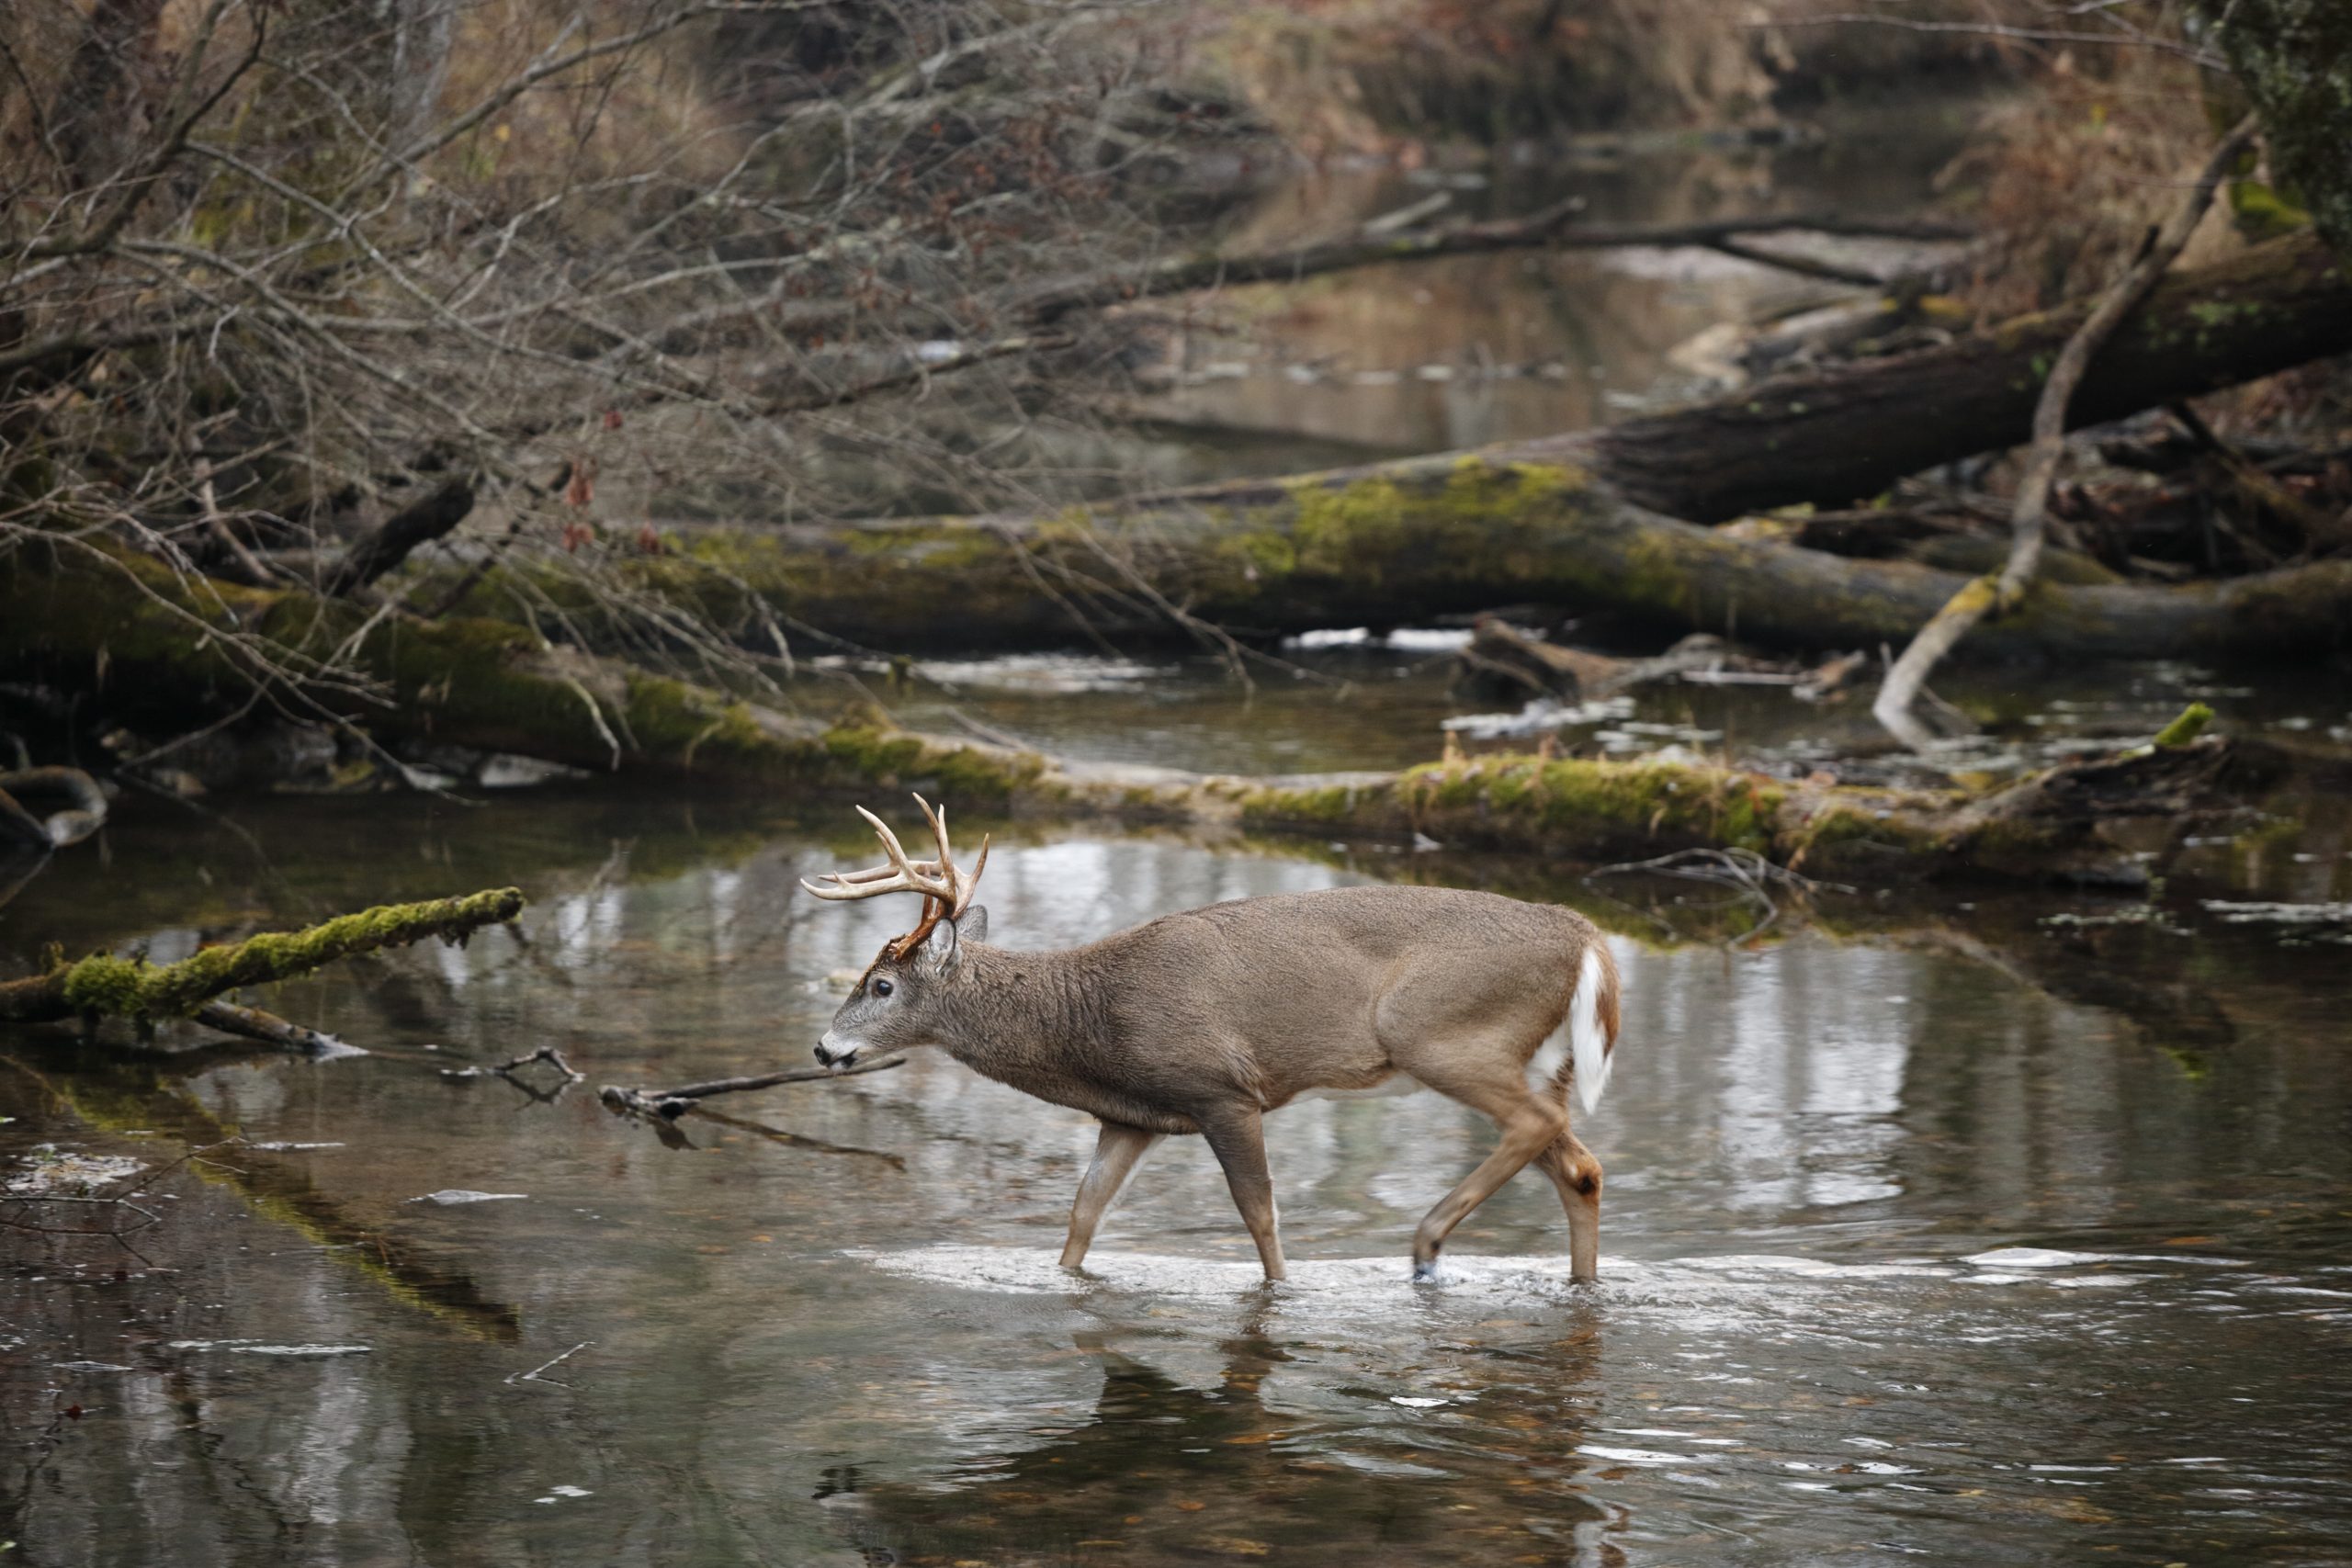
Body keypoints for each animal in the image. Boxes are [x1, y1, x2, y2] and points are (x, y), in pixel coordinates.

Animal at [799, 799, 1627, 1288]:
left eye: (882, 985)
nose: (823, 1048)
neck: (1090, 1020)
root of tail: (1587, 936)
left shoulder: (1221, 1088)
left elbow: (1260, 1214)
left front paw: (1282, 1288)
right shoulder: (1131, 1116)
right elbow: (1083, 1215)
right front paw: (1063, 1280)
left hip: (1440, 1033)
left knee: (1537, 1126)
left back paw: (1425, 1246)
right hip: (1534, 1056)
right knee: (1579, 1163)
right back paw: (1575, 1280)